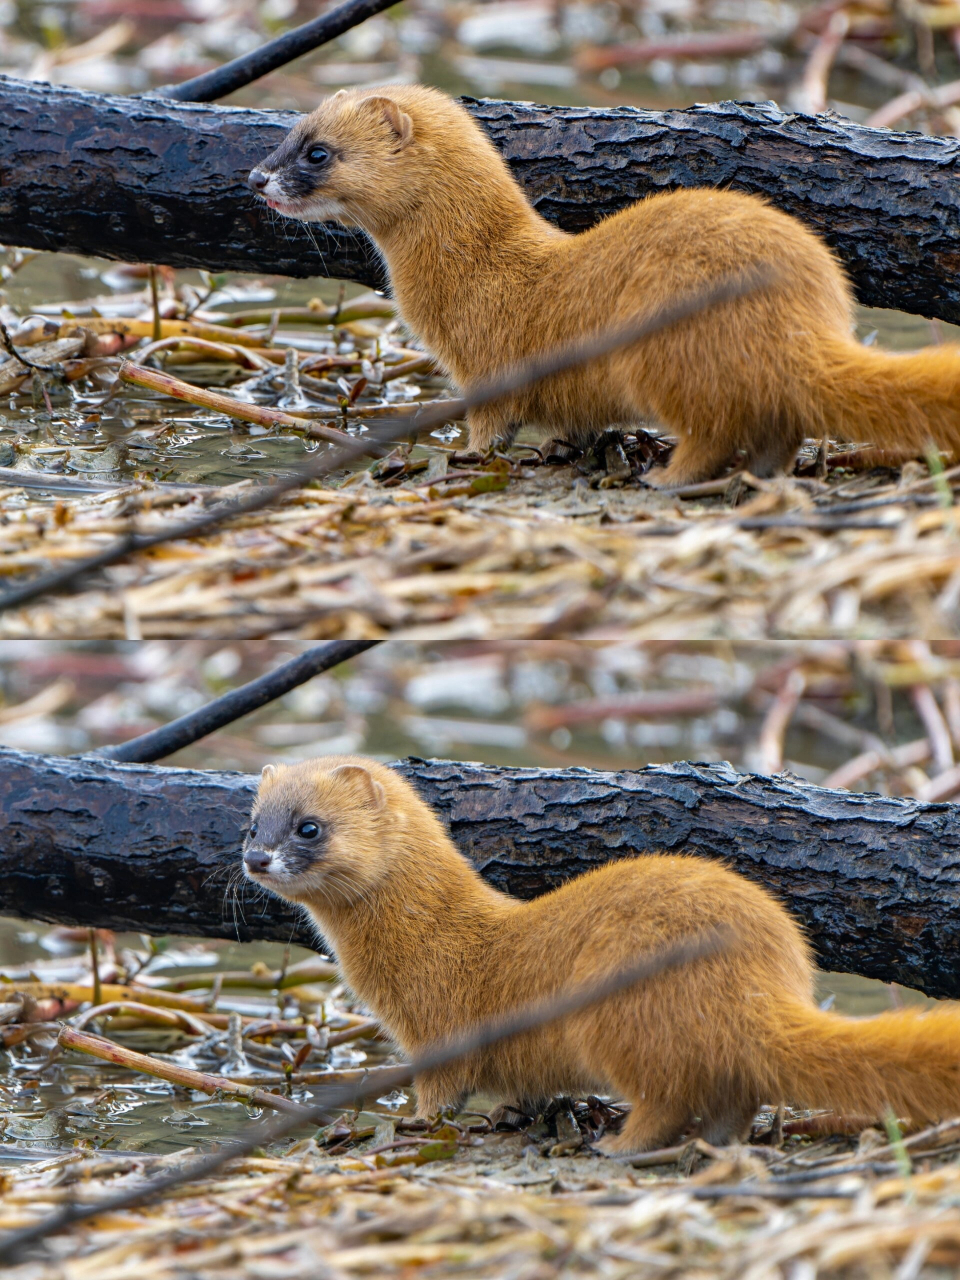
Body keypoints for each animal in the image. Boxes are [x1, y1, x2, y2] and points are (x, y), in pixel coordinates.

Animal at [241, 752, 960, 1157]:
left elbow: (442, 1092)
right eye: (252, 822)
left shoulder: (437, 1031)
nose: (254, 858)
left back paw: (619, 1144)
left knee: (667, 1096)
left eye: (309, 826)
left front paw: (413, 1123)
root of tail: (762, 976)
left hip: (615, 1011)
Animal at [245, 85, 960, 483]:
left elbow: (491, 427)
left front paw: (469, 456)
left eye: (317, 151)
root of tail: (806, 311)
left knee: (714, 430)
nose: (254, 177)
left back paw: (667, 477)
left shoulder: (484, 368)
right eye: (288, 132)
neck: (475, 267)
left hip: (661, 348)